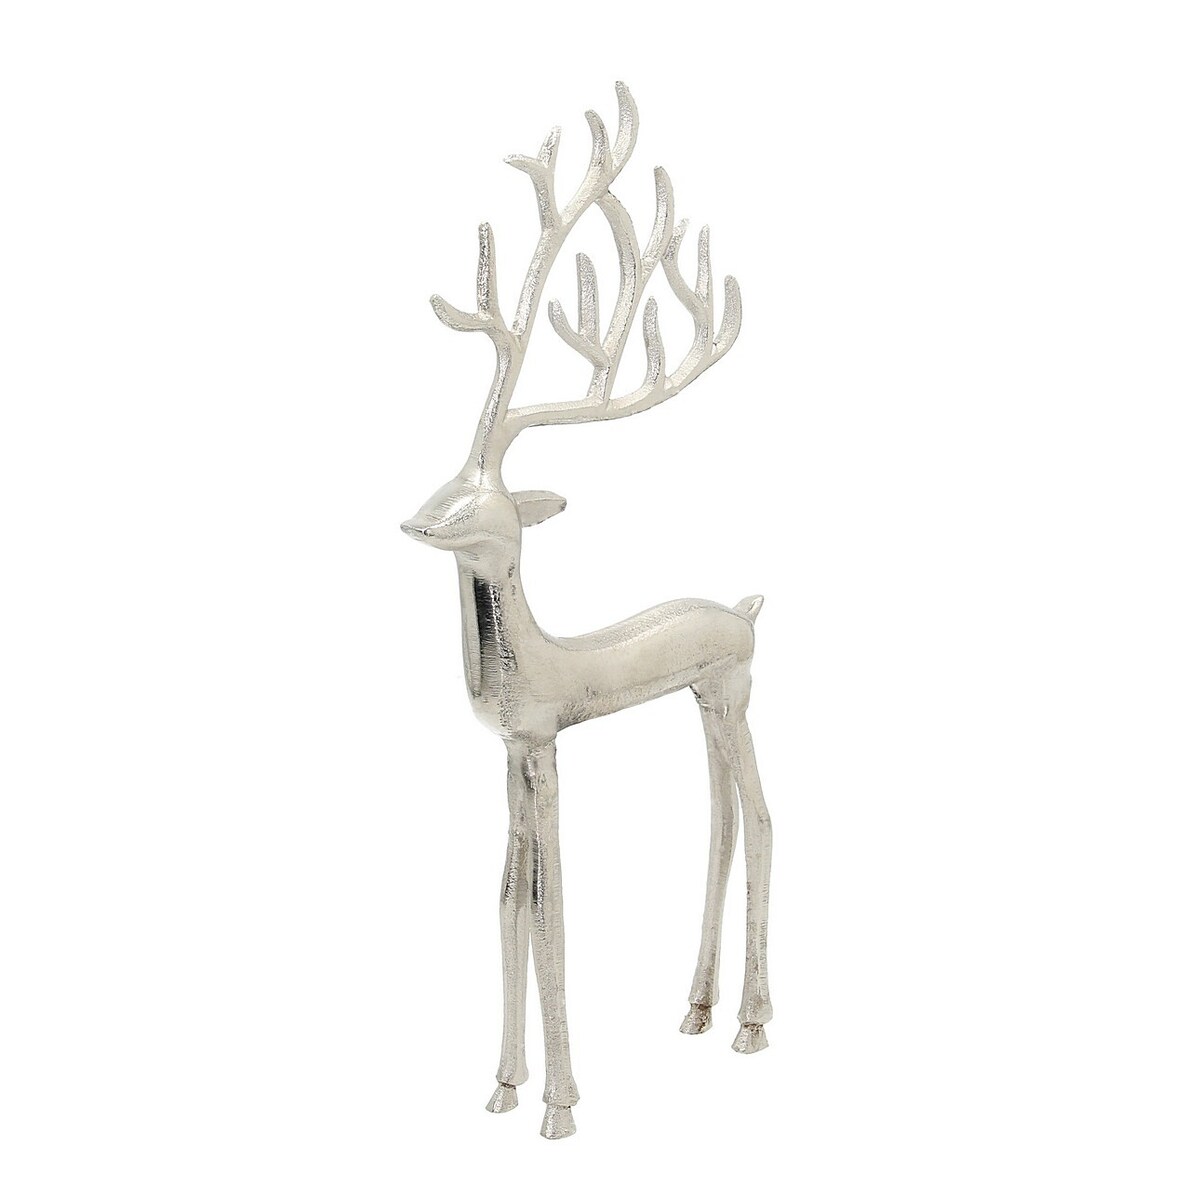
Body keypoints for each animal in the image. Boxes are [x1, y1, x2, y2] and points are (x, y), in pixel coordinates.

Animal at [402, 83, 772, 1139]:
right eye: (450, 483)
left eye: (482, 504)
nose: (414, 521)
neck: (534, 653)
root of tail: (746, 609)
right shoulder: (515, 752)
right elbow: (505, 899)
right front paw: (500, 1087)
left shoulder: (546, 744)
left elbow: (550, 902)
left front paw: (560, 1108)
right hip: (702, 700)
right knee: (720, 819)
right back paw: (696, 1010)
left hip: (735, 694)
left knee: (763, 819)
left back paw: (751, 1026)